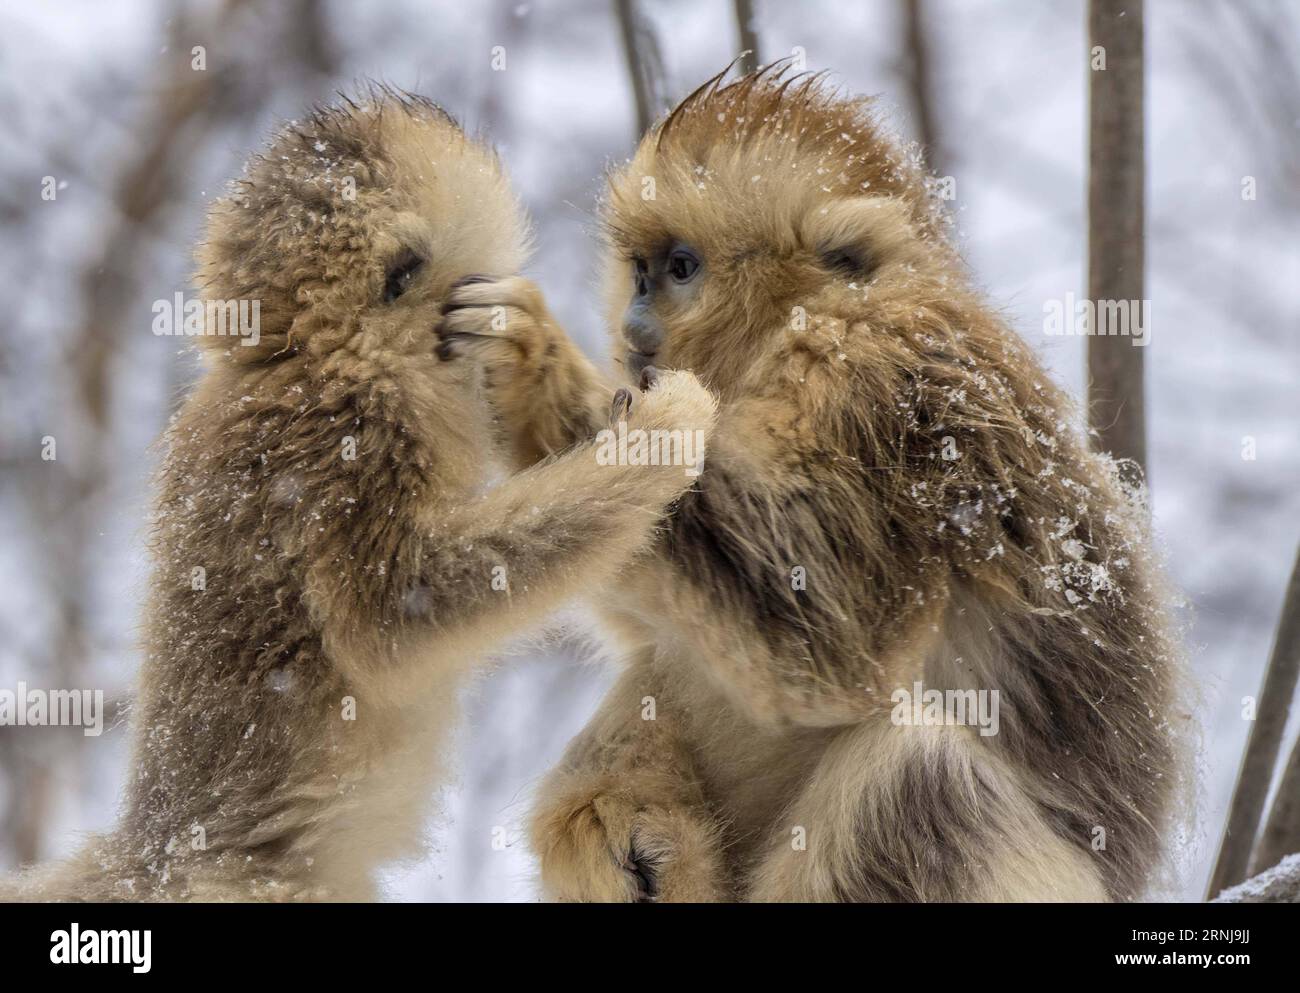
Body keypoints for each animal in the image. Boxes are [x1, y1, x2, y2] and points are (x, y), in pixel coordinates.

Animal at [1, 88, 717, 902]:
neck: (303, 354)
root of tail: (153, 854)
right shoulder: (360, 435)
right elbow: (393, 615)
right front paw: (661, 438)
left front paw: (522, 338)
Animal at [437, 65, 1186, 902]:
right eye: (640, 272)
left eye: (681, 269)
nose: (633, 329)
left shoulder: (876, 380)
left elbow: (828, 644)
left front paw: (532, 365)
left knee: (916, 772)